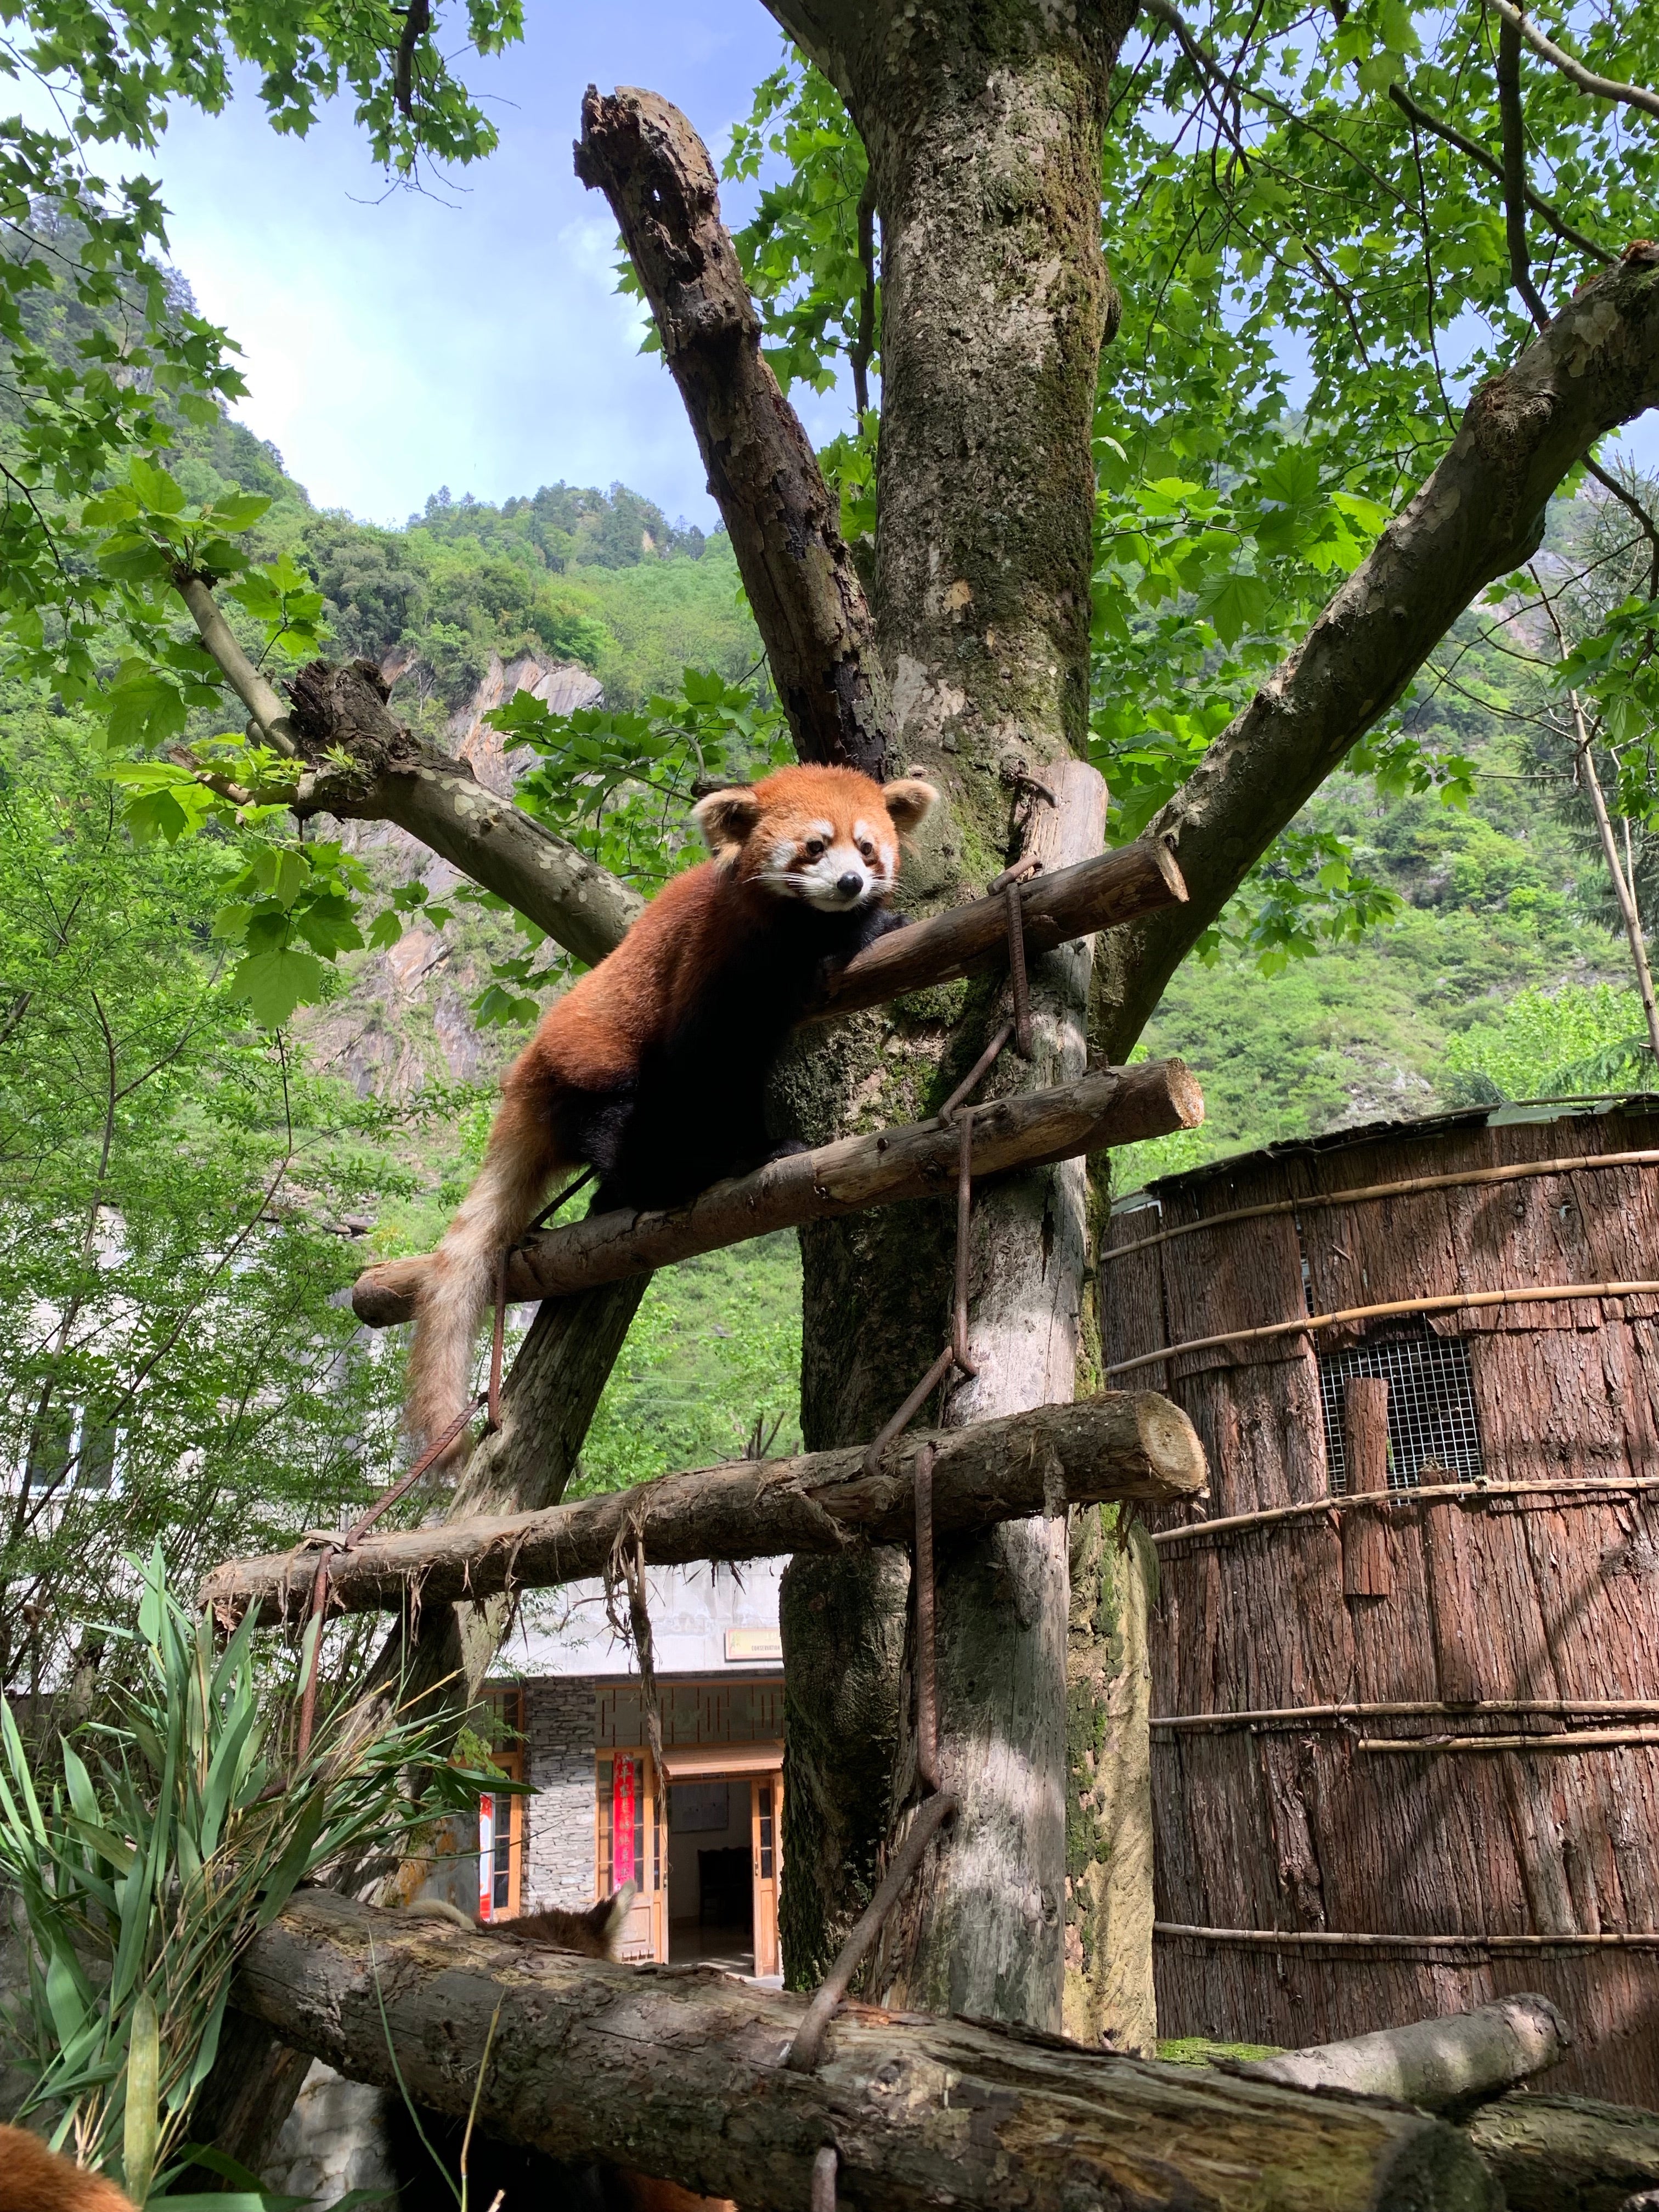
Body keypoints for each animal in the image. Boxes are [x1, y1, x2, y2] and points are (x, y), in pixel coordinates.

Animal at [382, 761, 942, 1469]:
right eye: (815, 846)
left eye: (868, 848)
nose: (850, 883)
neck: (795, 930)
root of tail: (525, 1079)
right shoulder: (713, 960)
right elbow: (709, 1066)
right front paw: (754, 1150)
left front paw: (873, 924)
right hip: (589, 1067)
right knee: (625, 1119)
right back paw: (664, 1177)